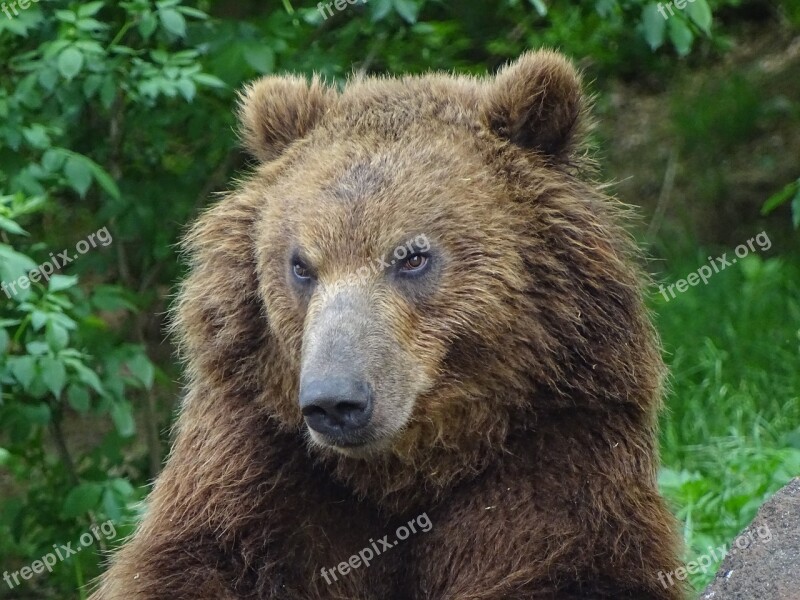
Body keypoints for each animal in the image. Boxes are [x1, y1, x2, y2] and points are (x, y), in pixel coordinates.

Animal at [90, 52, 684, 600]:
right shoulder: (256, 463)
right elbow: (198, 558)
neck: (402, 475)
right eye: (301, 264)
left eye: (412, 256)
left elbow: (568, 561)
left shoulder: (557, 448)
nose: (335, 401)